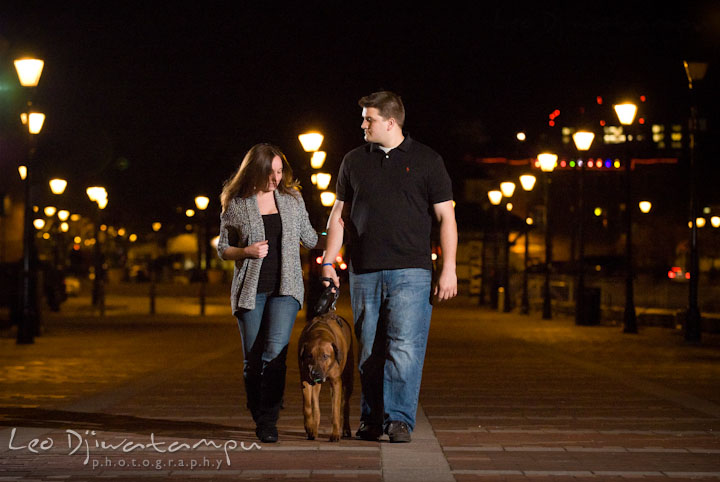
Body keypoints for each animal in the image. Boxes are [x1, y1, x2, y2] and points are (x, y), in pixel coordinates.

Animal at [298, 310, 354, 442]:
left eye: (325, 356)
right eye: (309, 356)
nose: (315, 373)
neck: (320, 332)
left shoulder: (336, 382)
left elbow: (335, 411)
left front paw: (335, 434)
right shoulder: (305, 380)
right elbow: (308, 406)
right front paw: (309, 426)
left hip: (349, 379)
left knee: (345, 404)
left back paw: (346, 429)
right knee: (316, 406)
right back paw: (314, 428)